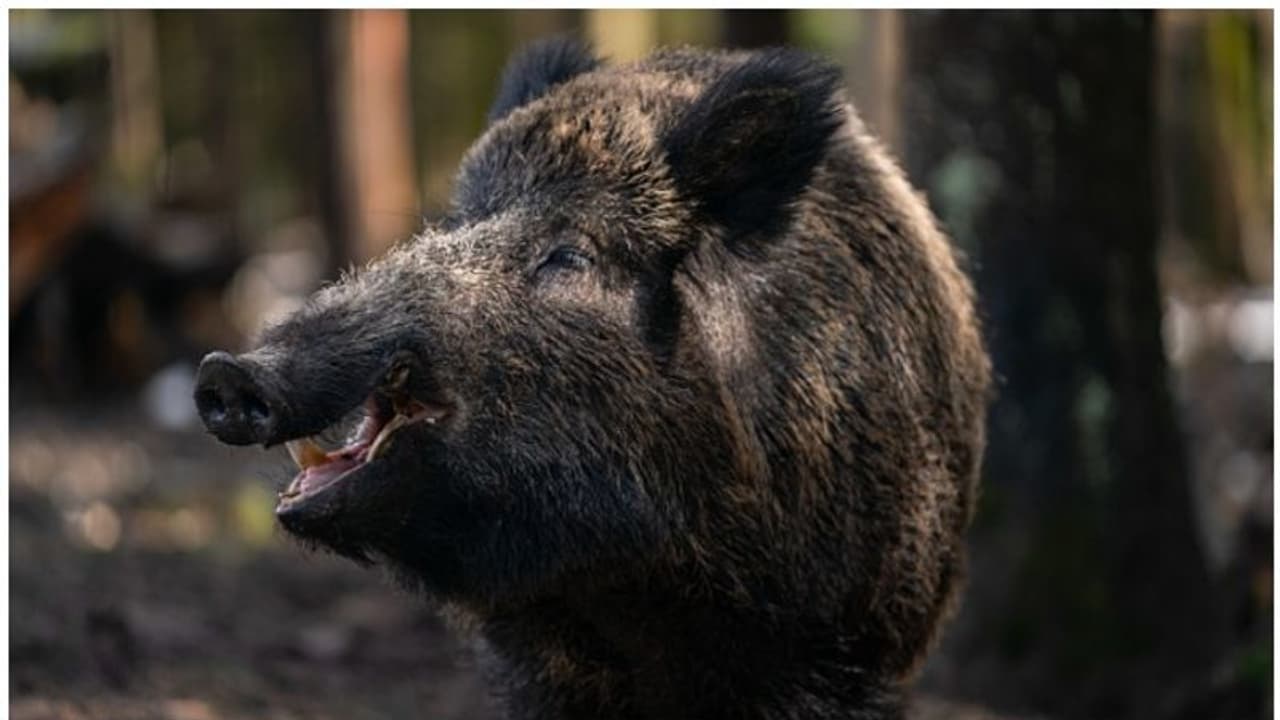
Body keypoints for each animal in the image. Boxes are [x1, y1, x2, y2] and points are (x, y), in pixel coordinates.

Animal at [194, 39, 991, 720]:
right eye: (460, 221)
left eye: (569, 255)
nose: (229, 373)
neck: (630, 592)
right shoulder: (534, 661)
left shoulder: (837, 646)